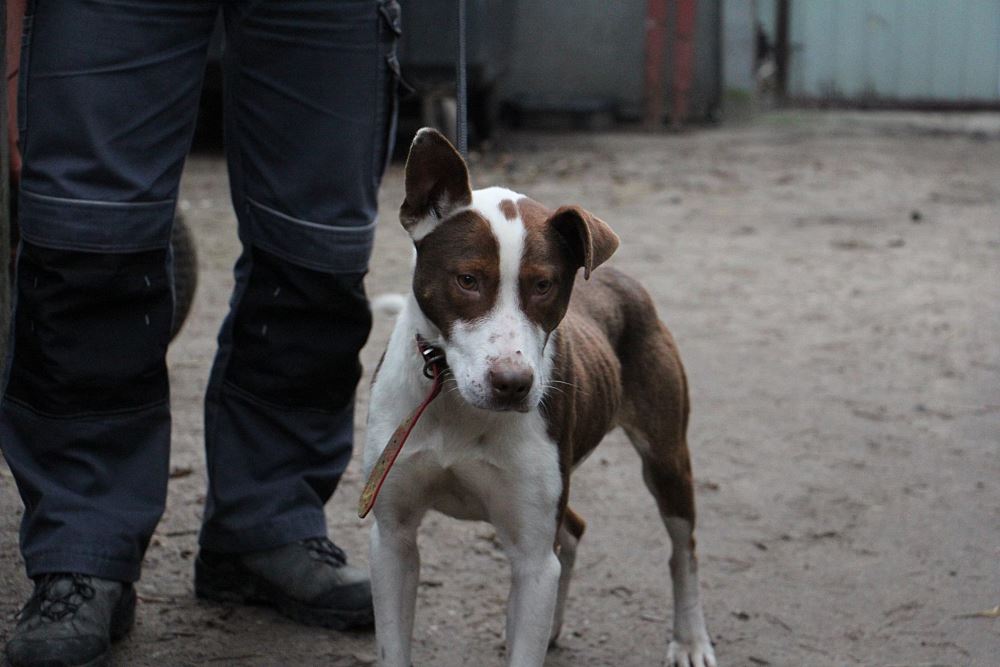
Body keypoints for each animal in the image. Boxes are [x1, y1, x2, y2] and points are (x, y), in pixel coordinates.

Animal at [362, 128, 716, 667]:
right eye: (468, 279)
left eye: (544, 285)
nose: (513, 383)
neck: (454, 404)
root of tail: (620, 279)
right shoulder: (392, 538)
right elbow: (394, 645)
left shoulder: (531, 557)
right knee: (572, 531)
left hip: (666, 457)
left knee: (683, 548)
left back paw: (691, 639)